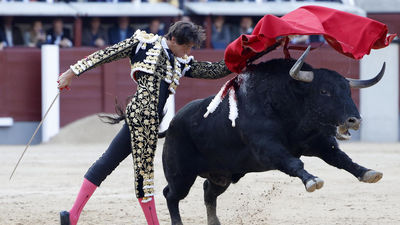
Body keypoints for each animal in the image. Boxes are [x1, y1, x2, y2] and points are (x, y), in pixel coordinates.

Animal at [162, 57, 384, 224]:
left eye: (347, 91)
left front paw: (368, 173)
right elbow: (294, 163)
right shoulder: (268, 149)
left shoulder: (318, 143)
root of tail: (173, 123)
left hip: (222, 175)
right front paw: (312, 180)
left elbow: (341, 159)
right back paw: (178, 222)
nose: (354, 120)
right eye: (324, 91)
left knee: (208, 192)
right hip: (181, 175)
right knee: (171, 195)